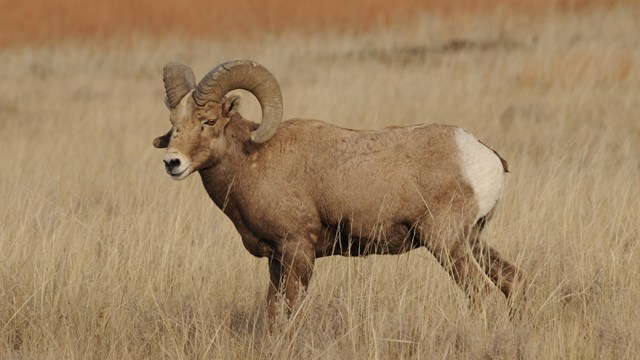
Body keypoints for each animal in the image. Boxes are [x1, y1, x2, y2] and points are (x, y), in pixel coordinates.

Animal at [154, 59, 524, 326]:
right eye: (174, 122)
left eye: (210, 121)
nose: (172, 162)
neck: (253, 160)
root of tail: (486, 156)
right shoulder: (275, 259)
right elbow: (273, 313)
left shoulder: (298, 252)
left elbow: (291, 313)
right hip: (473, 241)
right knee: (514, 282)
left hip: (446, 244)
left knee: (483, 294)